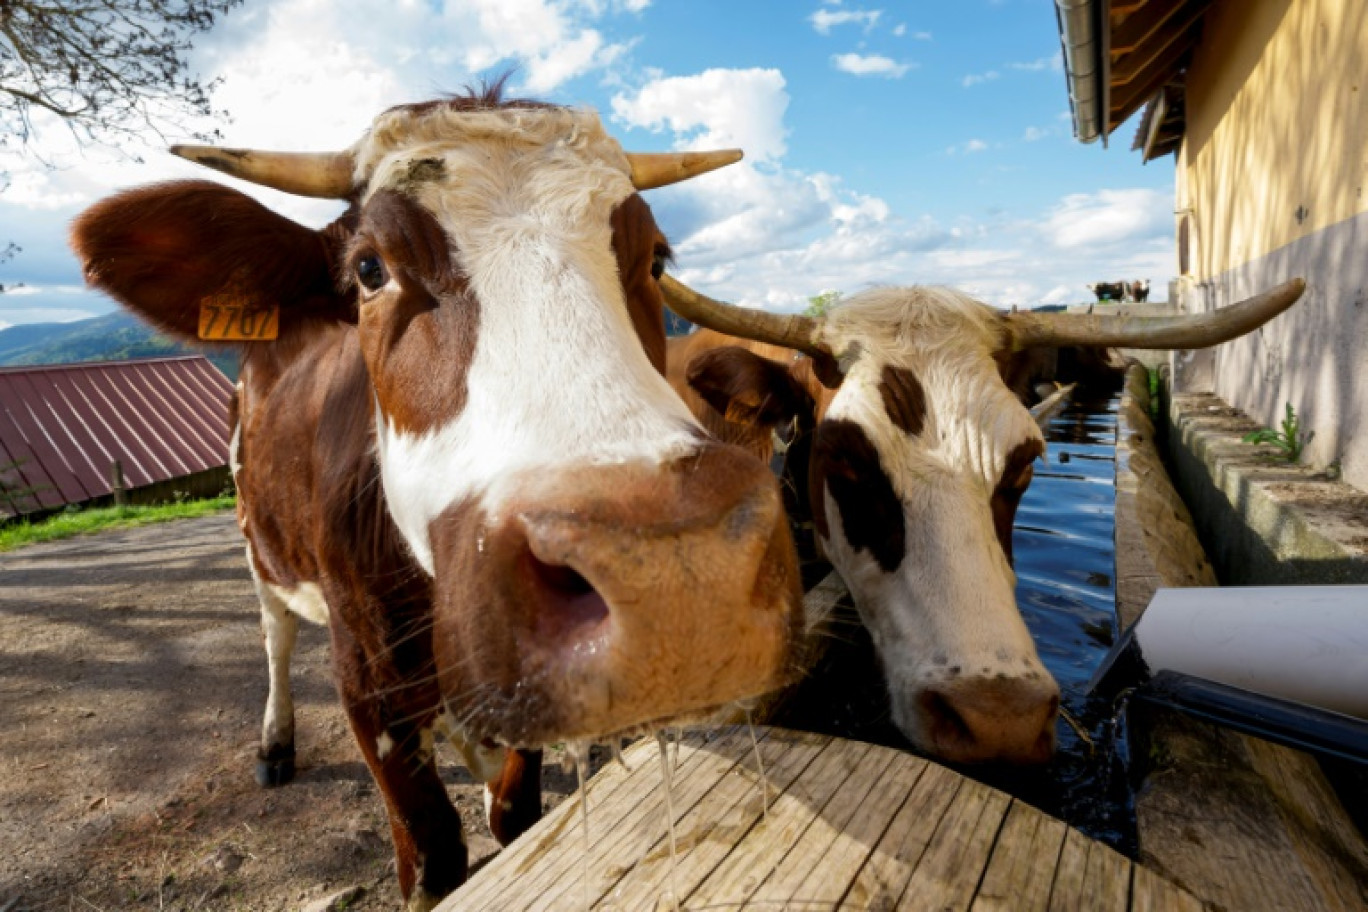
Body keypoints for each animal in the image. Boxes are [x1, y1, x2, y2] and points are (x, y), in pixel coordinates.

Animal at [72, 88, 798, 907]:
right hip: (257, 538)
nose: (678, 574)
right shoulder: (368, 683)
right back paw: (275, 742)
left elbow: (515, 817)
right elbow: (429, 855)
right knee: (275, 633)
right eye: (369, 269)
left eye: (655, 256)